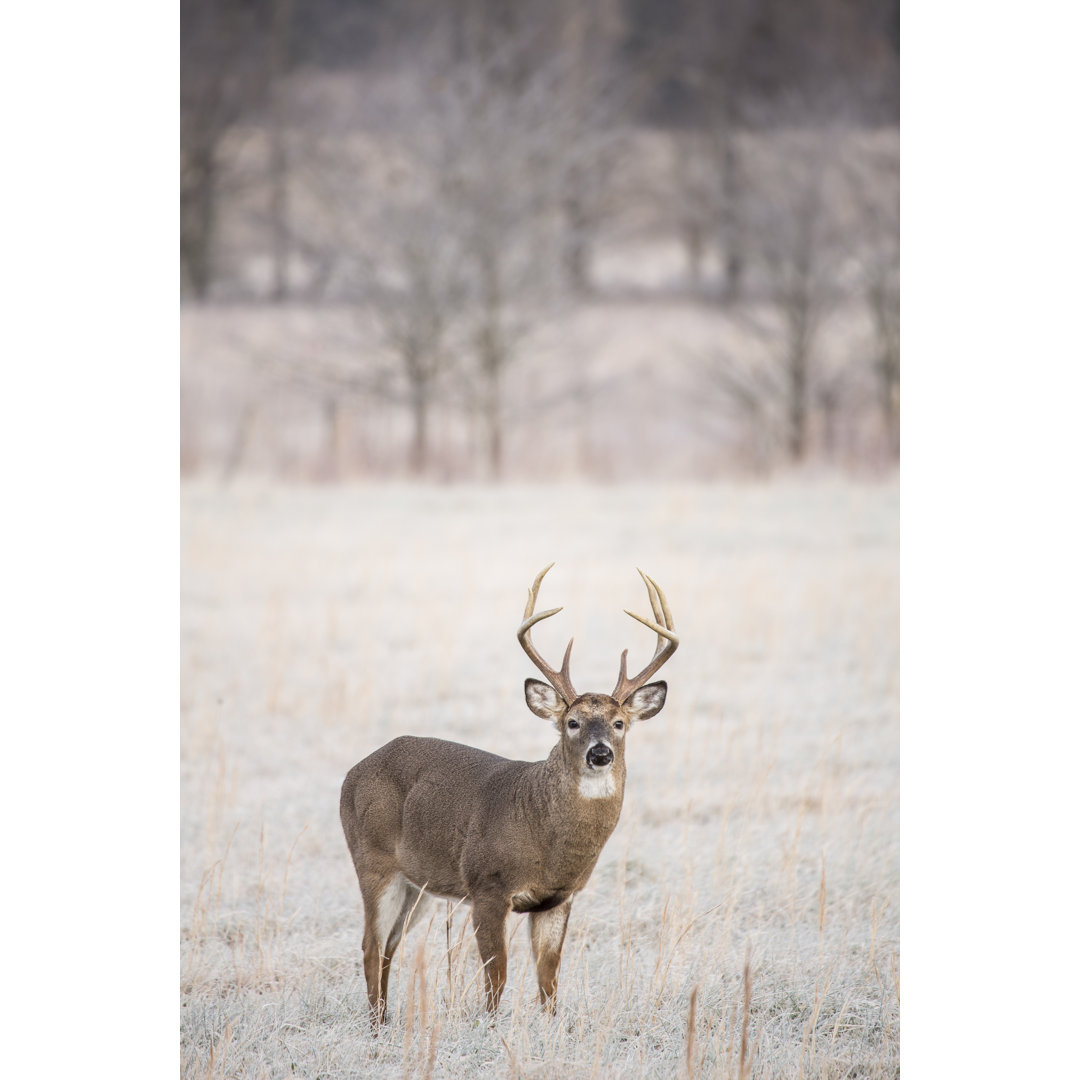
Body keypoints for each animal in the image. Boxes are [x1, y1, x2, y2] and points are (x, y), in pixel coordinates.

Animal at [336, 565, 678, 1019]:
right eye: (572, 722)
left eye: (619, 723)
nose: (600, 753)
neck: (546, 839)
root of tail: (352, 773)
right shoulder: (486, 885)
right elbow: (495, 978)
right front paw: (492, 1027)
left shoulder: (559, 898)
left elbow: (548, 981)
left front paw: (549, 1025)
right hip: (372, 861)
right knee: (370, 945)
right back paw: (376, 1023)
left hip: (418, 883)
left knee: (390, 944)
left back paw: (386, 1019)